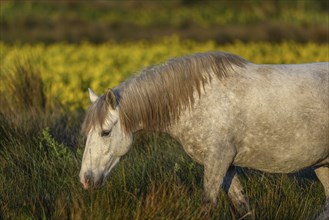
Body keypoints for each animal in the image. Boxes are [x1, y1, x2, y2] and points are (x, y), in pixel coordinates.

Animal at [79, 52, 328, 218]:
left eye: (105, 132)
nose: (85, 179)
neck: (197, 100)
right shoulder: (227, 165)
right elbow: (242, 206)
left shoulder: (218, 160)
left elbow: (207, 206)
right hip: (323, 164)